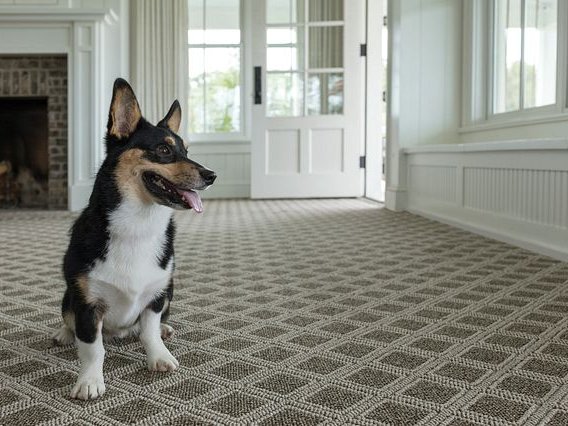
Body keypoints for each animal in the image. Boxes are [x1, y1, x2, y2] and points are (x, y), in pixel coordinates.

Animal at [52, 79, 215, 400]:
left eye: (186, 151)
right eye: (163, 149)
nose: (211, 175)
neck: (139, 224)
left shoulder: (156, 295)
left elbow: (149, 332)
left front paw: (159, 356)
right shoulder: (87, 303)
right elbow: (92, 348)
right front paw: (89, 382)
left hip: (170, 290)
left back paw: (164, 329)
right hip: (68, 296)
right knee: (68, 318)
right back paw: (64, 333)